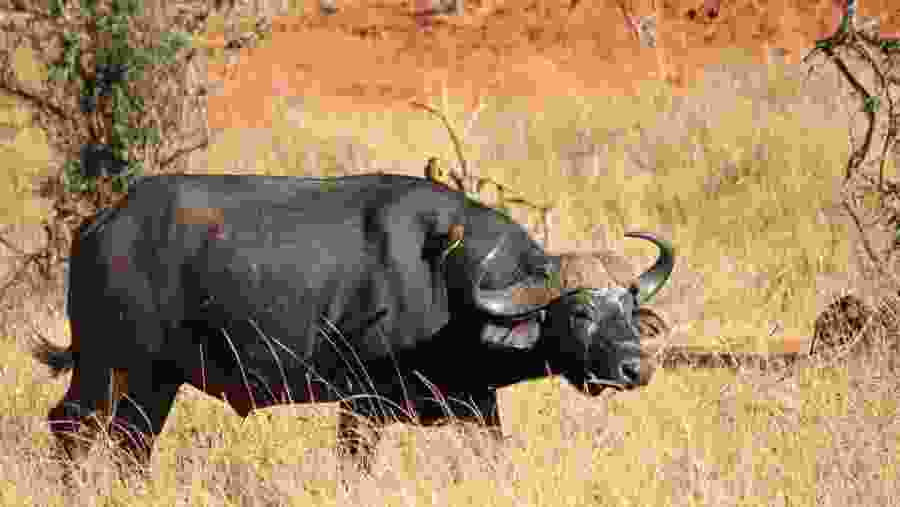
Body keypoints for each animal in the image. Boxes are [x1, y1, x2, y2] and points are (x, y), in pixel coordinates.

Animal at [33, 174, 674, 467]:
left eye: (629, 307)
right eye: (581, 311)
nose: (634, 368)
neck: (448, 286)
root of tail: (100, 224)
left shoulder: (476, 406)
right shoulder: (360, 407)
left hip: (155, 380)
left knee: (129, 443)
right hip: (108, 366)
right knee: (73, 427)